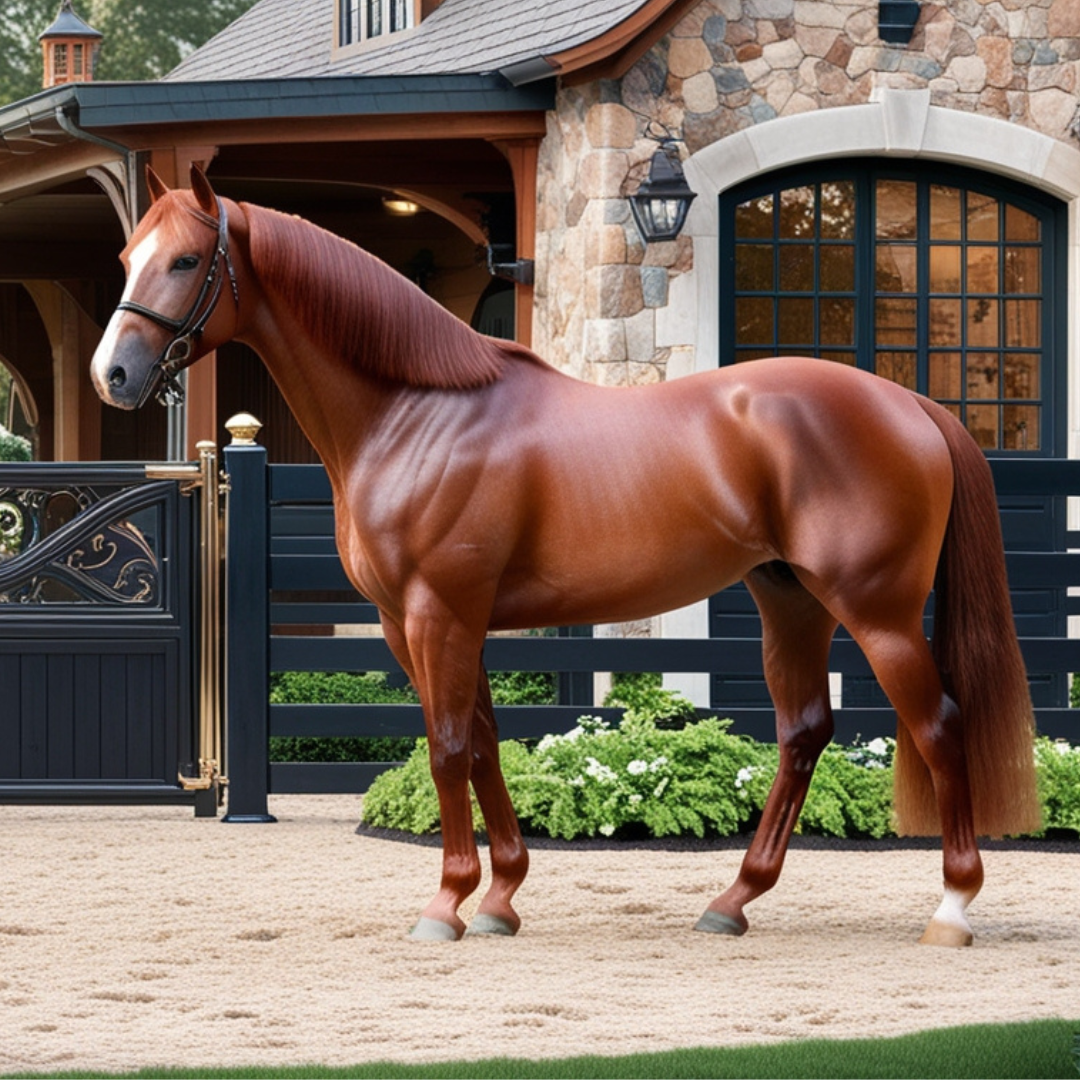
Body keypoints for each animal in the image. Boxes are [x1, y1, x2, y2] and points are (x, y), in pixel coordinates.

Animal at [91, 164, 1040, 947]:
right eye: (129, 254)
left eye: (185, 261)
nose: (114, 376)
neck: (417, 411)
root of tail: (911, 403)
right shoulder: (420, 622)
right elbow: (480, 743)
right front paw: (501, 898)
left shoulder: (440, 612)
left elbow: (446, 747)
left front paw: (447, 904)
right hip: (789, 600)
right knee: (805, 730)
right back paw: (732, 901)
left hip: (877, 612)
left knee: (938, 725)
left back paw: (953, 908)